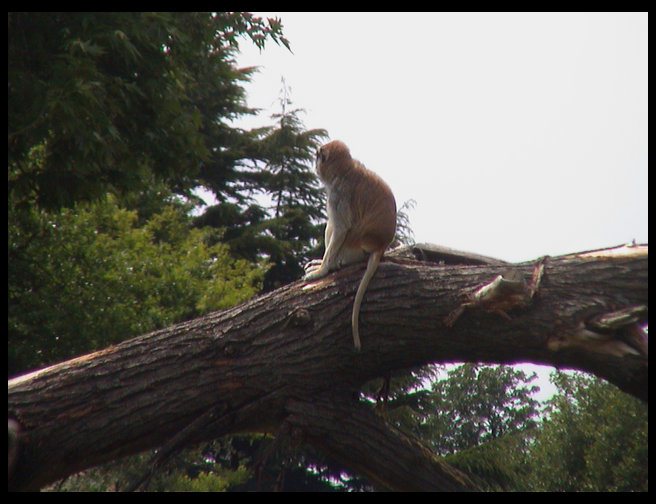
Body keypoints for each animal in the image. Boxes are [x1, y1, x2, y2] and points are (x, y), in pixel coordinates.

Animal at [304, 140, 396, 350]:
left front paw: (321, 271)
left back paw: (333, 265)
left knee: (333, 226)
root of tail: (380, 246)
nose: (314, 166)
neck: (346, 170)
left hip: (353, 245)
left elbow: (341, 228)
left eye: (318, 157)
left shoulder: (338, 195)